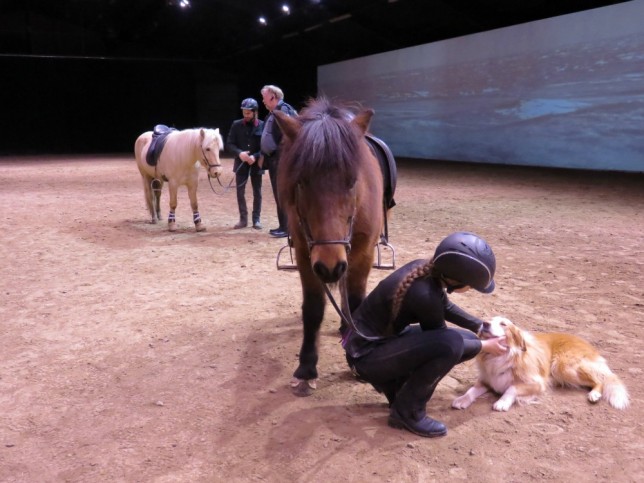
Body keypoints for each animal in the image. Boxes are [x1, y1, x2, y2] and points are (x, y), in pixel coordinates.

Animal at [272, 99, 392, 398]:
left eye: (352, 181)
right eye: (301, 181)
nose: (330, 266)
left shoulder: (363, 254)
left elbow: (357, 299)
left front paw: (357, 356)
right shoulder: (307, 256)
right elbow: (313, 309)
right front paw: (306, 368)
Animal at [452, 318, 628, 412]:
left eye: (503, 324)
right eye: (489, 319)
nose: (484, 323)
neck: (501, 357)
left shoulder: (537, 383)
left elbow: (511, 388)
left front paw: (502, 402)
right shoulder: (487, 380)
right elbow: (471, 390)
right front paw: (461, 399)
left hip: (563, 367)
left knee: (600, 379)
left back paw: (594, 394)